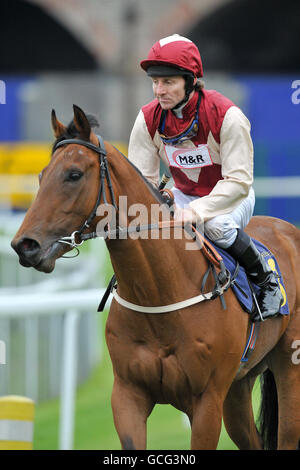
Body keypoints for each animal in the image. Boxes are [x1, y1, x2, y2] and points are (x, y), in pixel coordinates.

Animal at [12, 104, 300, 450]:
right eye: (41, 176)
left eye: (74, 174)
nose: (24, 245)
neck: (159, 295)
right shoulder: (128, 395)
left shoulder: (206, 401)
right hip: (238, 388)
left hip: (287, 366)